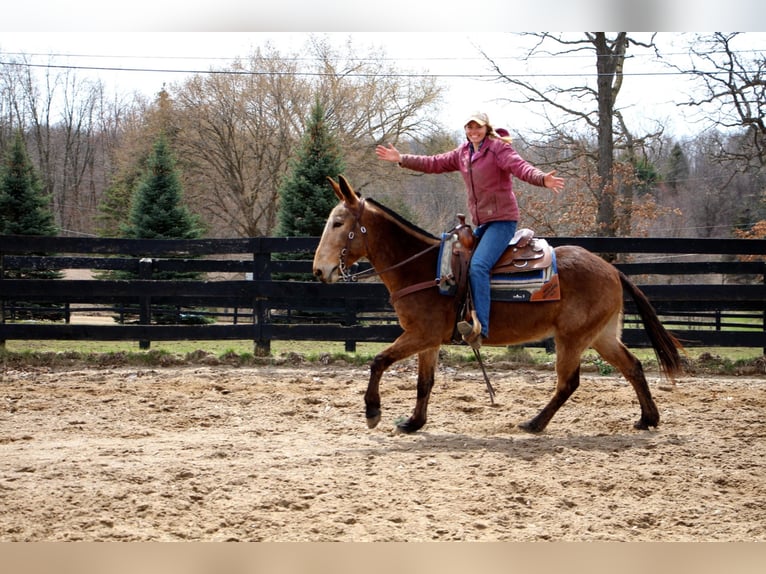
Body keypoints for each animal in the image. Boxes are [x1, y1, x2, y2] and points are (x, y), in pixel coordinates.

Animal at [316, 176, 688, 436]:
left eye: (338, 223)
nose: (319, 270)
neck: (423, 268)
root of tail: (612, 270)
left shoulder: (421, 334)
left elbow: (379, 361)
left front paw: (372, 412)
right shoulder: (427, 339)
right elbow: (425, 382)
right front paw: (413, 422)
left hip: (573, 339)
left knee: (568, 383)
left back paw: (535, 423)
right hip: (602, 335)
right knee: (633, 367)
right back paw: (647, 418)